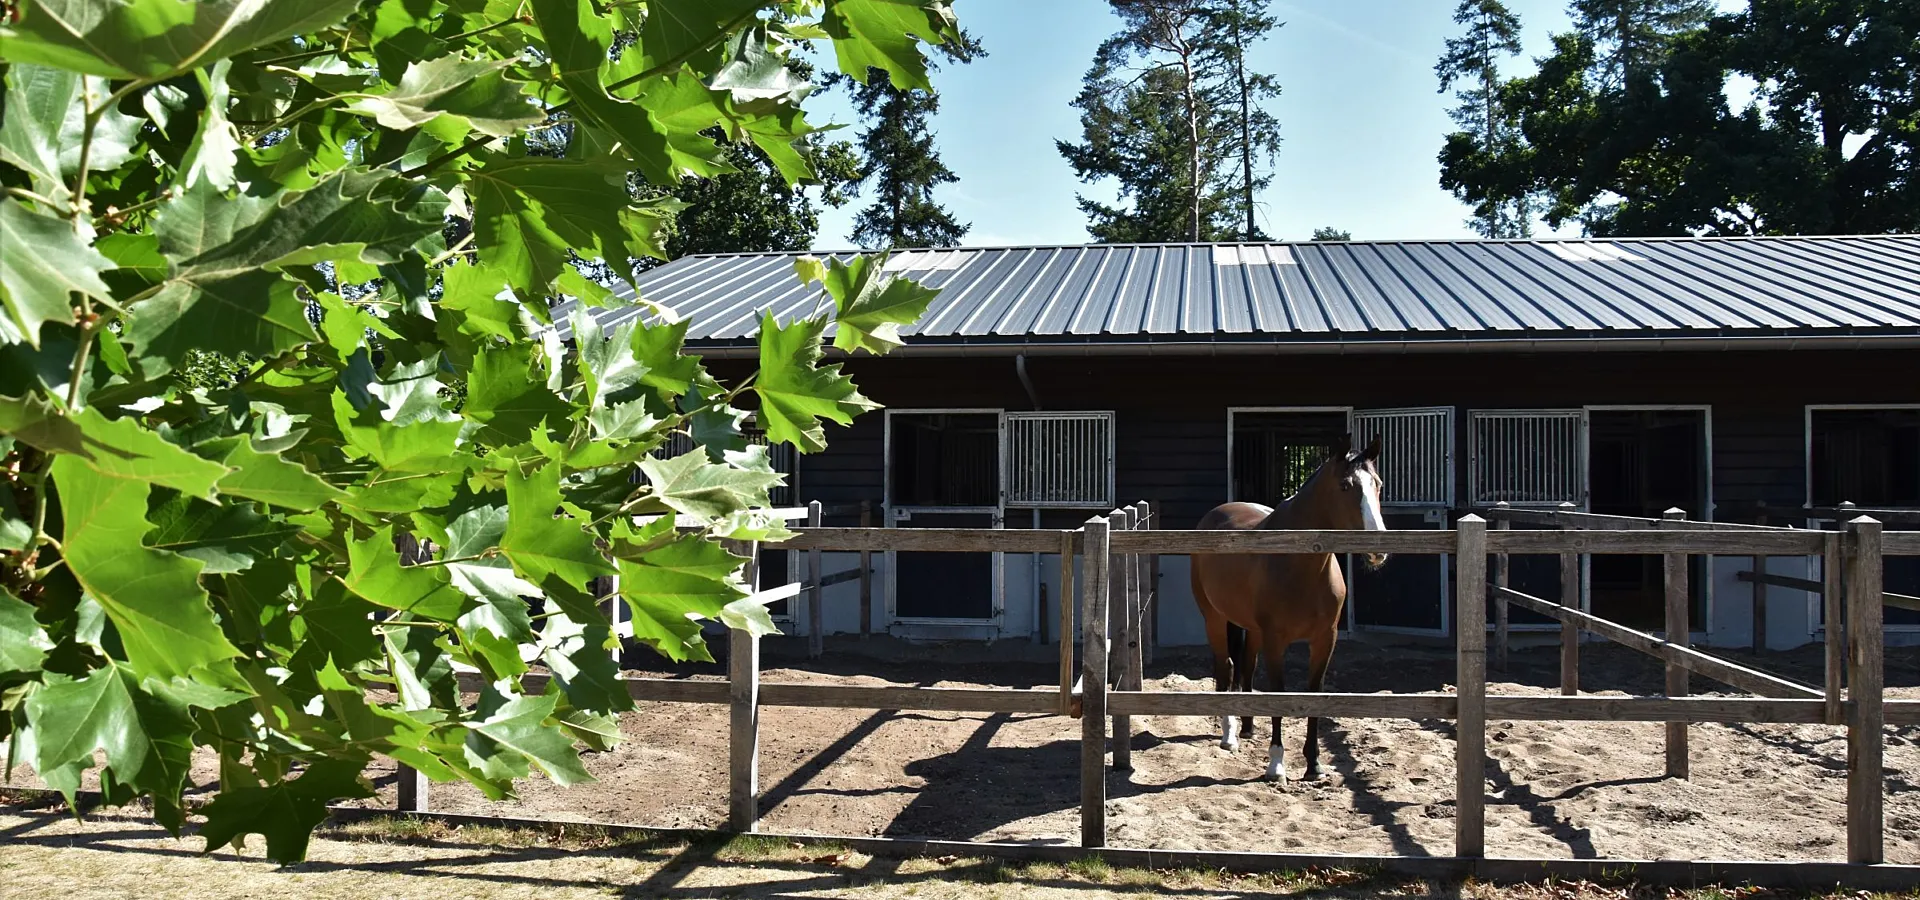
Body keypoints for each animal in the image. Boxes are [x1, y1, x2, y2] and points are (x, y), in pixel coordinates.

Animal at [1182, 433, 1382, 779]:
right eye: (1345, 486)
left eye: (1378, 484)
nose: (1377, 548)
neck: (1300, 564)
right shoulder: (1276, 640)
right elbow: (1278, 692)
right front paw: (1276, 764)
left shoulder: (1325, 640)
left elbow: (1312, 695)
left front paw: (1314, 764)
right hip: (1214, 618)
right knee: (1226, 665)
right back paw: (1229, 735)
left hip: (1250, 627)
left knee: (1246, 665)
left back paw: (1248, 727)